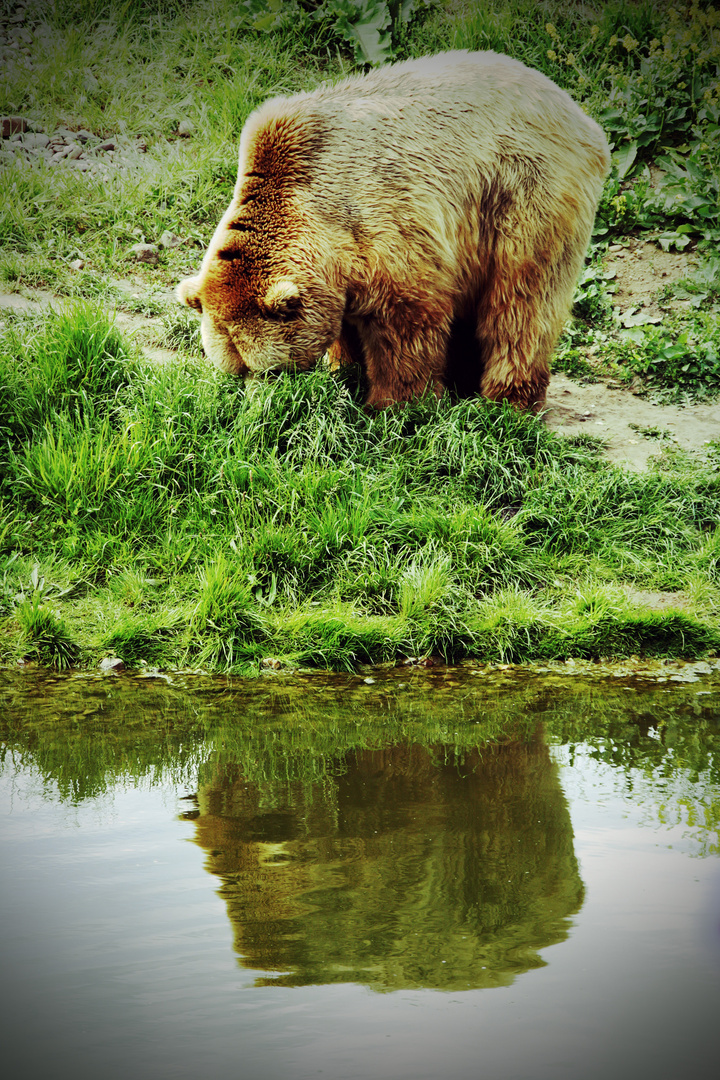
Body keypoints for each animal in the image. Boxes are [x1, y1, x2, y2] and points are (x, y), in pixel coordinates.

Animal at [177, 46, 613, 410]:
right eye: (234, 370)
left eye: (266, 369)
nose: (258, 404)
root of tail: (575, 110)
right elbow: (345, 325)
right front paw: (345, 371)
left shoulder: (386, 219)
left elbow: (405, 322)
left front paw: (394, 405)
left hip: (525, 193)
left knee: (523, 300)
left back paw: (508, 400)